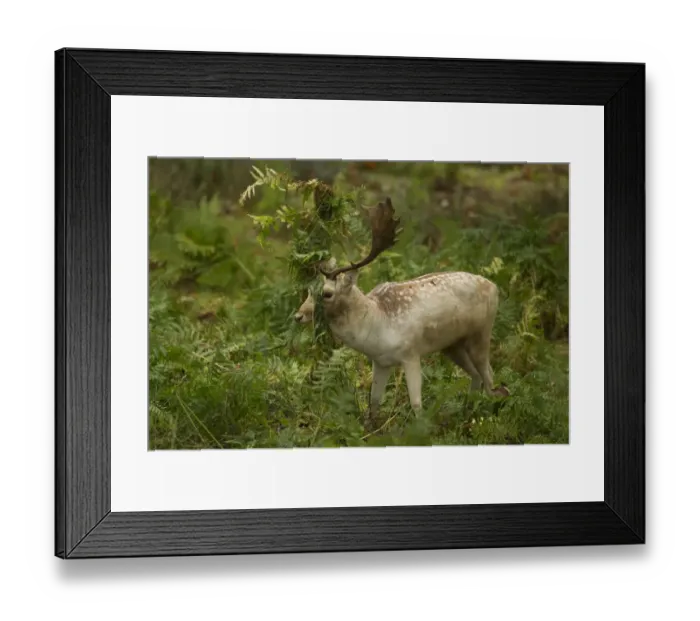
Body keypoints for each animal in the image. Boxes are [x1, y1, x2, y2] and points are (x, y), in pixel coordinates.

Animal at [294, 197, 508, 429]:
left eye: (327, 294)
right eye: (309, 289)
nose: (298, 316)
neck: (376, 323)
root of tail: (495, 287)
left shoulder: (411, 353)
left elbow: (416, 403)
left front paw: (422, 430)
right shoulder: (380, 362)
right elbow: (374, 402)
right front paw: (370, 428)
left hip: (482, 332)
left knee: (489, 375)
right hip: (452, 345)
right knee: (477, 375)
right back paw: (467, 414)